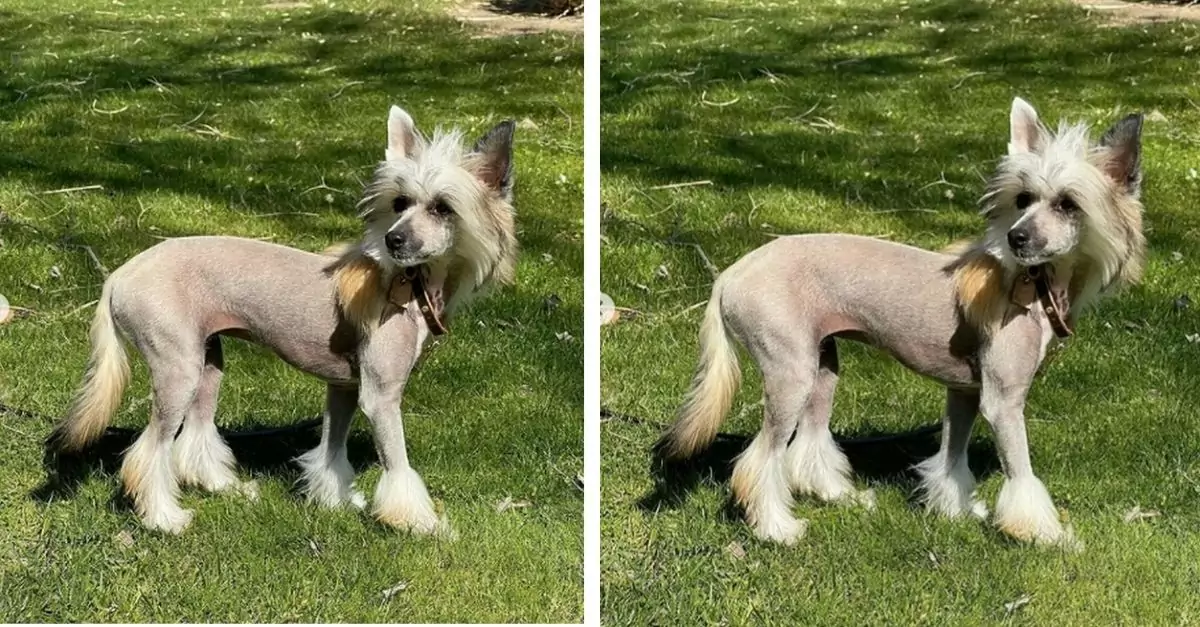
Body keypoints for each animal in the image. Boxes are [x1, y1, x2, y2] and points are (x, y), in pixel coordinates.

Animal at [49, 106, 518, 530]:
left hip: (207, 363)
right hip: (175, 369)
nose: (394, 239)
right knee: (150, 451)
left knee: (194, 436)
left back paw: (226, 488)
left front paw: (334, 500)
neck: (407, 285)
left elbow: (332, 448)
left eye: (442, 208)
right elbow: (397, 465)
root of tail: (119, 275)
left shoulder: (344, 388)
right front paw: (421, 524)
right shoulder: (380, 396)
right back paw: (165, 519)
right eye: (400, 202)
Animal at [662, 96, 1147, 547]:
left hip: (821, 366)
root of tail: (730, 274)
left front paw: (954, 509)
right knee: (760, 459)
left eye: (1067, 204)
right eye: (1023, 199)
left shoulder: (964, 392)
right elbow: (1021, 474)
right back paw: (777, 528)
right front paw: (1045, 534)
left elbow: (952, 455)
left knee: (809, 442)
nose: (1017, 237)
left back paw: (841, 496)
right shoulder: (1003, 401)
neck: (1031, 286)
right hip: (789, 373)